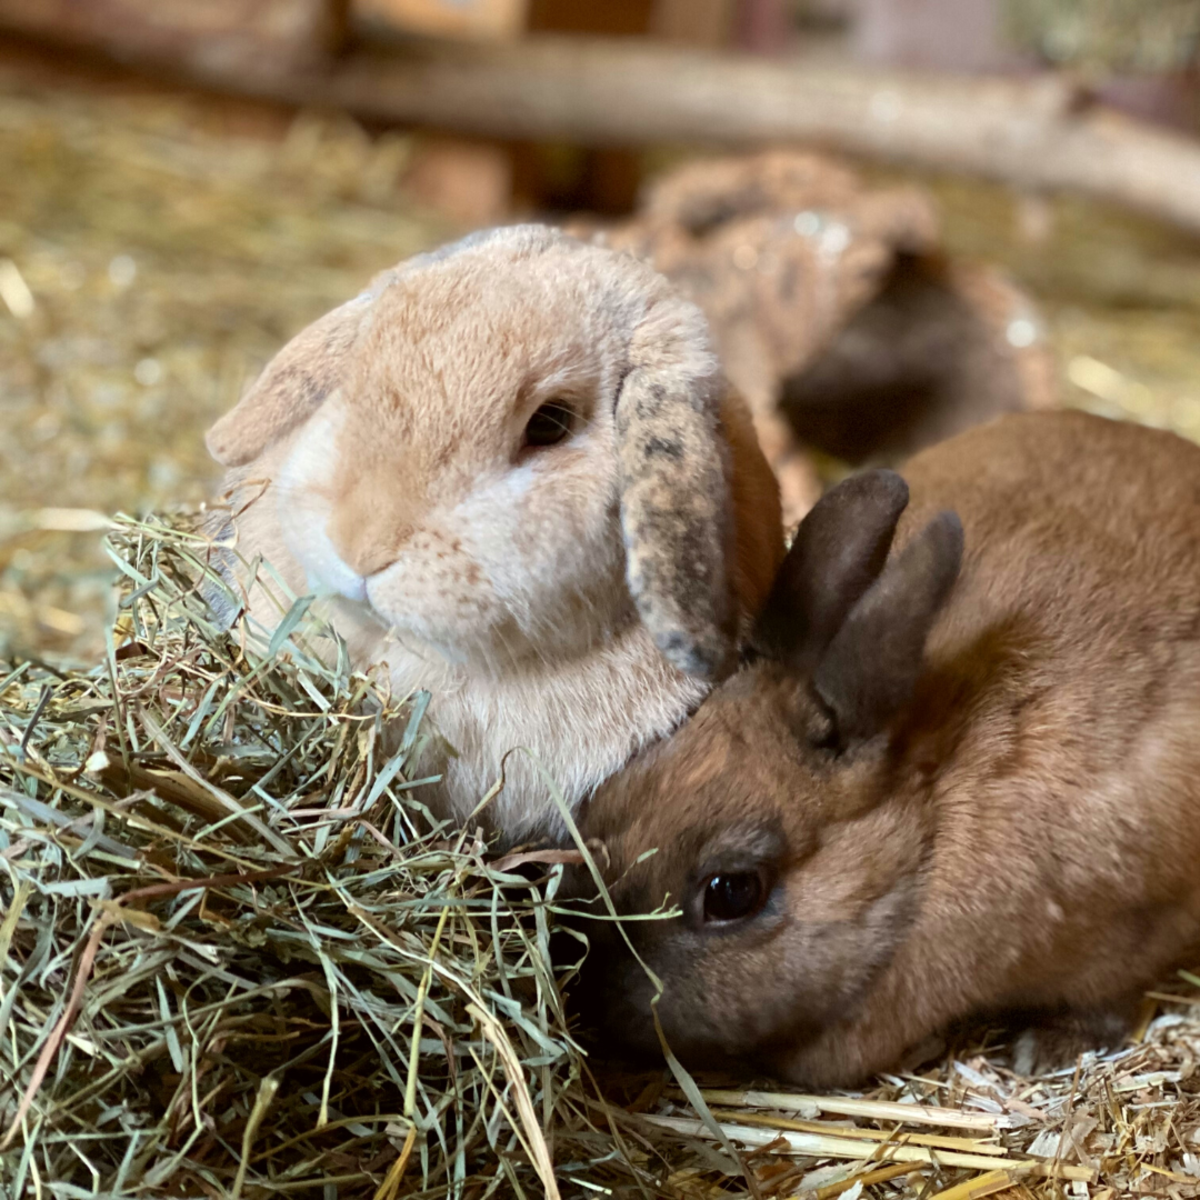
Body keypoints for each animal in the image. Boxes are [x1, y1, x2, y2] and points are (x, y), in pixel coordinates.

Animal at [568, 410, 1200, 1089]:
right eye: (616, 791)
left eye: (731, 892)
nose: (590, 993)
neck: (928, 826)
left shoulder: (1126, 928)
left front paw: (1047, 1049)